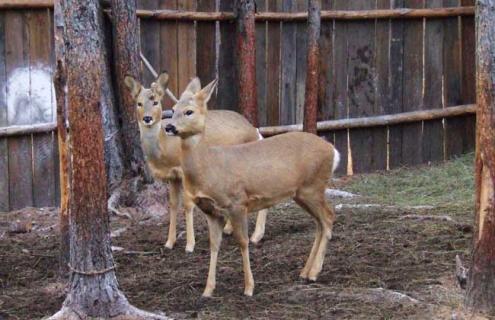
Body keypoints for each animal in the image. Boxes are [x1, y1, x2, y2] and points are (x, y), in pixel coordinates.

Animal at [126, 72, 270, 252]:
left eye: (155, 101)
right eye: (138, 103)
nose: (147, 118)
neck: (165, 150)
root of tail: (256, 132)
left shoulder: (184, 172)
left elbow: (188, 205)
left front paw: (190, 245)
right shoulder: (172, 176)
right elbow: (173, 204)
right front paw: (169, 242)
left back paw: (256, 236)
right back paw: (230, 229)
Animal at [166, 76, 340, 296]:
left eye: (189, 111)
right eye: (173, 109)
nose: (169, 127)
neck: (209, 167)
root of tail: (333, 150)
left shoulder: (237, 202)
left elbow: (243, 241)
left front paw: (249, 287)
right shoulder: (212, 211)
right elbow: (214, 245)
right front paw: (208, 290)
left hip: (313, 186)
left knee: (328, 217)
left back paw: (314, 272)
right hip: (302, 193)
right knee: (320, 222)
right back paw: (305, 272)